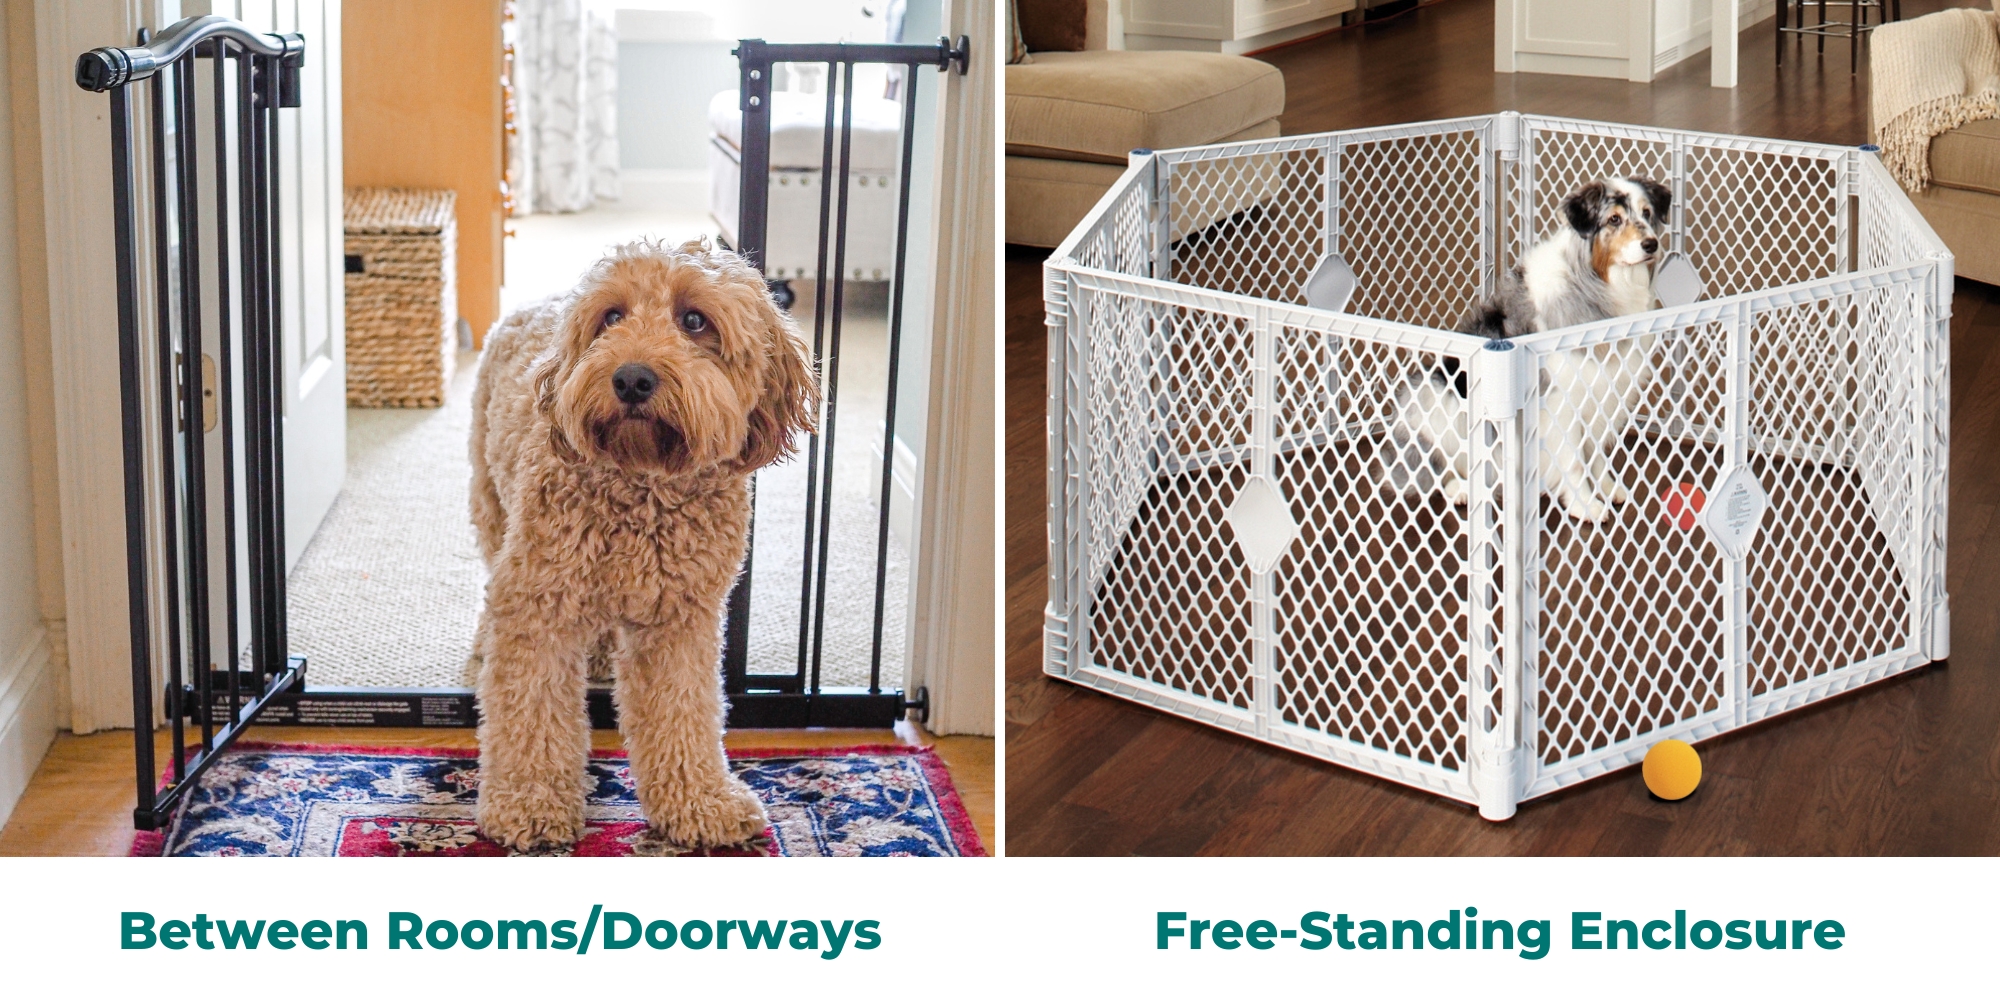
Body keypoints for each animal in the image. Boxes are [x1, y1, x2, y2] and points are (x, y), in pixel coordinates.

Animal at [464, 238, 816, 848]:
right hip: (492, 505)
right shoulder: (538, 606)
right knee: (491, 581)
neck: (642, 486)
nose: (631, 379)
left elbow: (684, 713)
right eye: (611, 317)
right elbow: (530, 708)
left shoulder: (682, 621)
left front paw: (700, 802)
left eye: (694, 320)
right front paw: (529, 802)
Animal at [1384, 178, 1664, 524]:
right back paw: (1461, 488)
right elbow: (1574, 461)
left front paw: (1610, 489)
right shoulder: (1560, 402)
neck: (1597, 285)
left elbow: (1596, 453)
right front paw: (1585, 505)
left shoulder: (1603, 393)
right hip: (1431, 392)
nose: (1651, 245)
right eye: (1614, 219)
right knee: (1438, 466)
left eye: (1647, 212)